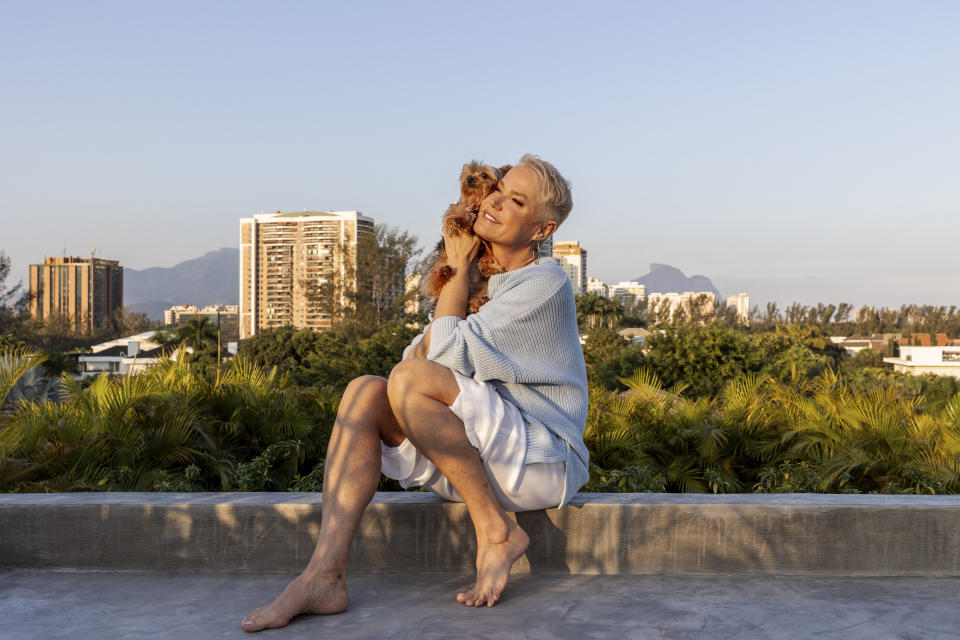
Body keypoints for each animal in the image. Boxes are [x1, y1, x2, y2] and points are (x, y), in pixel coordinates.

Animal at [420, 161, 510, 314]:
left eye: (484, 175)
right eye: (469, 173)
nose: (469, 178)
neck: (477, 202)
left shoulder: (490, 231)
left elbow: (490, 249)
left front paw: (490, 265)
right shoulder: (458, 207)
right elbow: (459, 211)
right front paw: (457, 221)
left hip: (482, 286)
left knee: (472, 300)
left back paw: (478, 302)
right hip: (438, 262)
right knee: (432, 286)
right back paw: (443, 273)